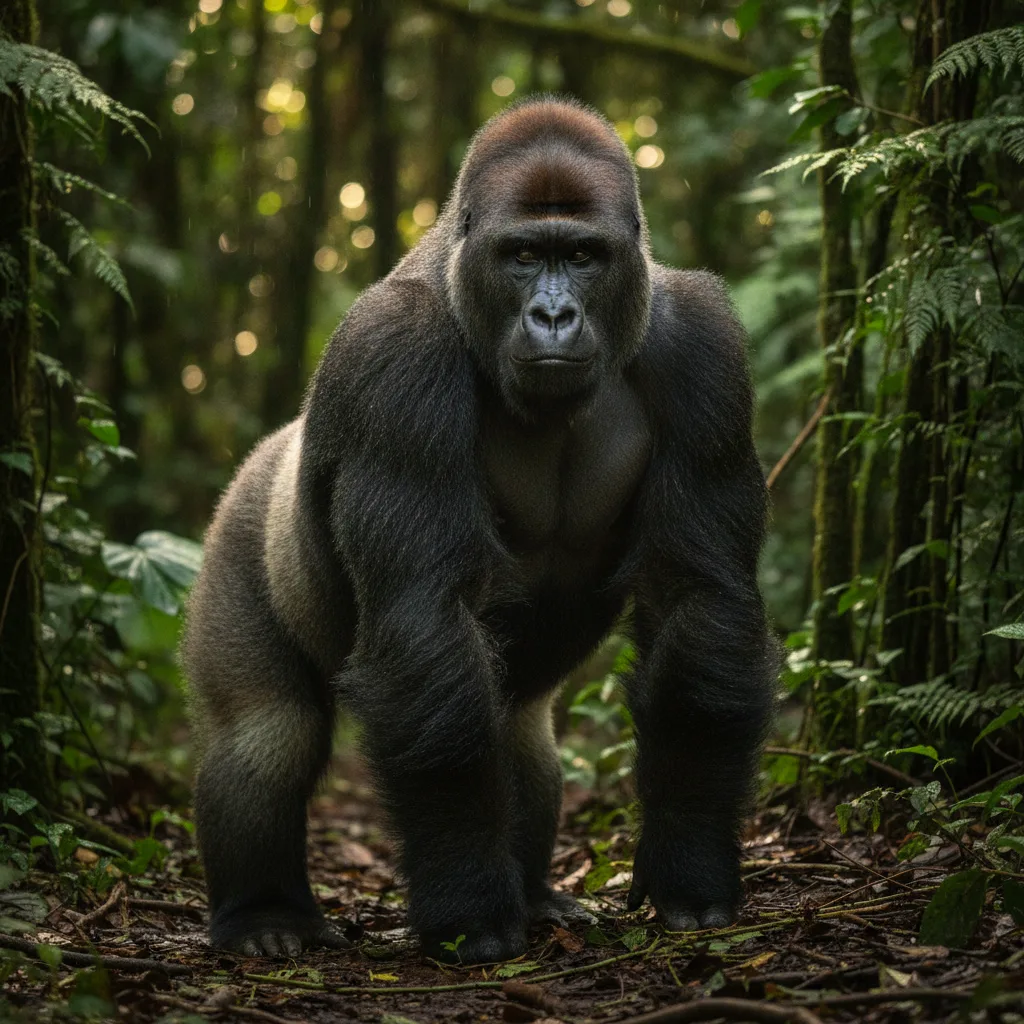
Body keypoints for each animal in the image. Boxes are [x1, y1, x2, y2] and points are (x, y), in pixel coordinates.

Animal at [183, 96, 778, 964]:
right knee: (268, 734)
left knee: (522, 731)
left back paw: (534, 894)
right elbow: (423, 622)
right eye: (523, 254)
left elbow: (697, 601)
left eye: (584, 256)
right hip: (237, 535)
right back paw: (262, 915)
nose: (554, 315)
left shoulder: (705, 347)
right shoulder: (393, 353)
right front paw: (467, 909)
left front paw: (689, 866)